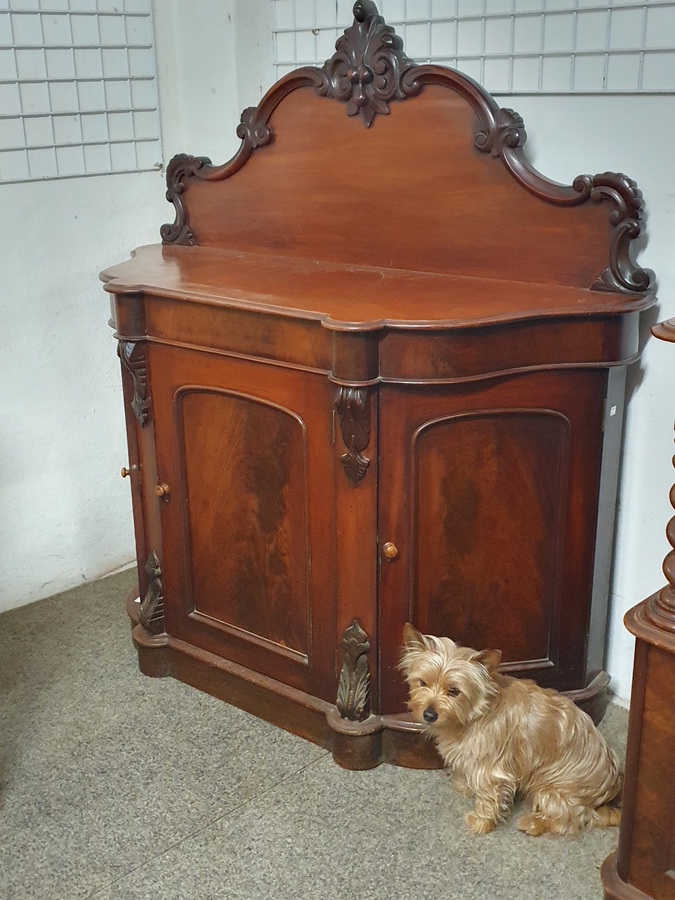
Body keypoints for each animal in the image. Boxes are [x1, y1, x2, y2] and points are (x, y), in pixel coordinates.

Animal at [398, 624, 624, 836]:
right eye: (422, 682)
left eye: (454, 691)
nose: (429, 714)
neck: (475, 714)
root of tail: (607, 792)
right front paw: (466, 786)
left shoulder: (491, 769)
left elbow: (489, 795)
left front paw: (481, 822)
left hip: (551, 789)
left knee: (568, 821)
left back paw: (533, 823)